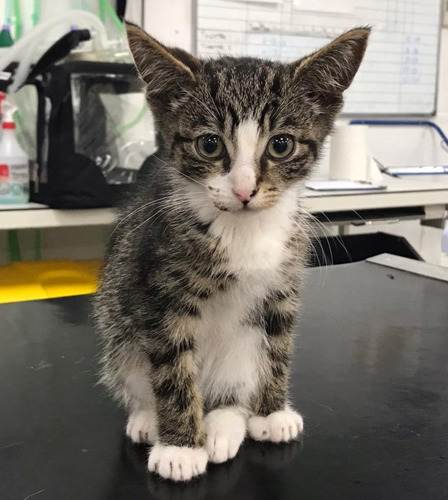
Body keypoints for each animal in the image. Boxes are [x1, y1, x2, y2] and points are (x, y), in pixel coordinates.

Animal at [93, 21, 368, 482]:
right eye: (209, 144)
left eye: (280, 145)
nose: (243, 190)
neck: (243, 230)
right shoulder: (158, 292)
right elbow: (171, 369)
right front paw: (181, 449)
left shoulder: (283, 283)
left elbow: (277, 345)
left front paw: (270, 414)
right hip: (119, 332)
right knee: (139, 370)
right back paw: (151, 420)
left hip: (237, 354)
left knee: (231, 389)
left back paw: (224, 424)